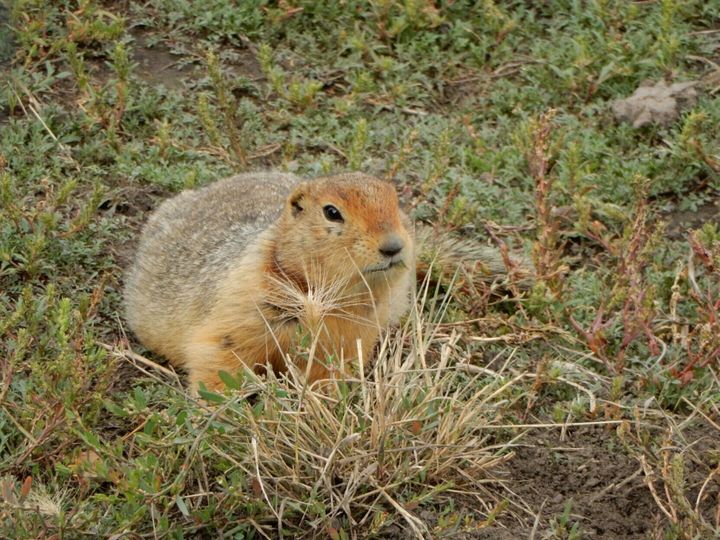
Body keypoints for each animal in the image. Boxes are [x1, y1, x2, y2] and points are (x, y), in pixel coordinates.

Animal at [123, 172, 416, 392]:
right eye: (332, 212)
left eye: (396, 202)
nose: (393, 246)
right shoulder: (242, 304)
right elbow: (219, 357)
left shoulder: (355, 333)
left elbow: (330, 370)